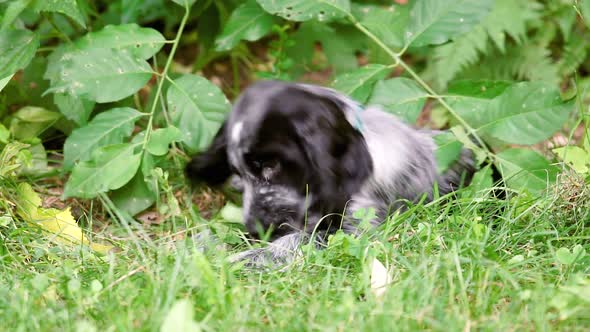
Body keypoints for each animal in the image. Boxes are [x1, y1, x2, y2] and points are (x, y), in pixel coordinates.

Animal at [187, 80, 478, 268]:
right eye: (238, 170)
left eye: (270, 165)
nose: (256, 229)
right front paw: (204, 243)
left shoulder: (355, 228)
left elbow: (296, 240)